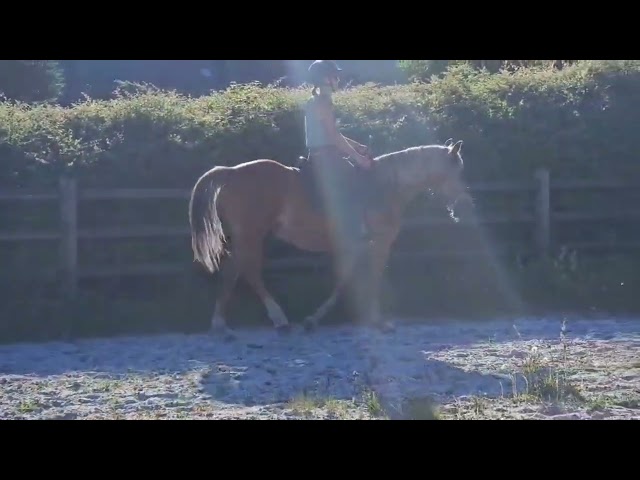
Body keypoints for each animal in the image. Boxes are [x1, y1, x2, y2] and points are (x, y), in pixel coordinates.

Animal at [188, 138, 472, 337]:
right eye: (455, 172)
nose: (463, 207)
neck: (386, 186)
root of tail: (231, 172)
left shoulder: (356, 245)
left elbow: (345, 279)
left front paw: (314, 319)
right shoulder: (380, 243)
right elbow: (370, 277)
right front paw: (378, 321)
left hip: (243, 236)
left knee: (232, 269)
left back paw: (221, 324)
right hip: (252, 234)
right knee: (250, 271)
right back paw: (279, 319)